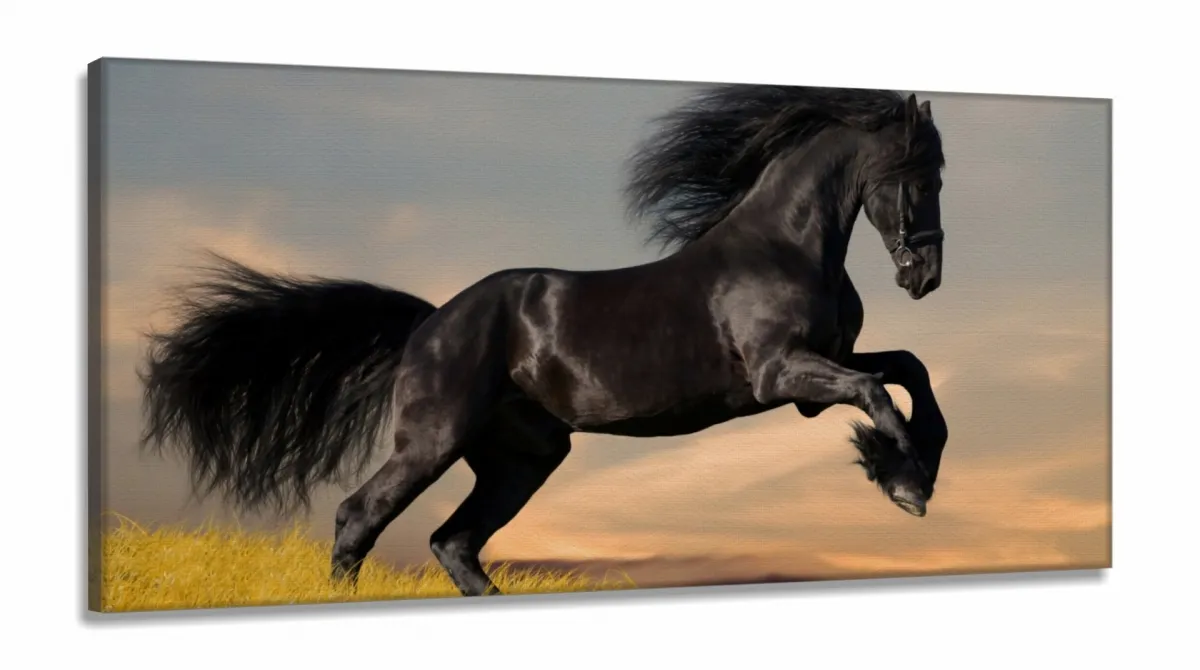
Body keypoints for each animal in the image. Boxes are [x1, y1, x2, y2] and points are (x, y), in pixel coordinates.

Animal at [138, 84, 950, 598]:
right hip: (433, 440)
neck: (782, 247)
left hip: (522, 457)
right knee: (360, 517)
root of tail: (429, 323)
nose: (926, 276)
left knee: (454, 543)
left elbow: (909, 371)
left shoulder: (819, 371)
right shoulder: (781, 376)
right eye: (921, 175)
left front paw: (915, 469)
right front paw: (905, 485)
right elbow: (878, 391)